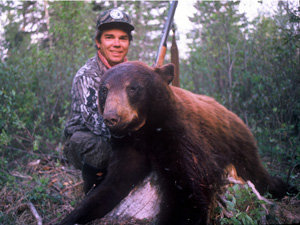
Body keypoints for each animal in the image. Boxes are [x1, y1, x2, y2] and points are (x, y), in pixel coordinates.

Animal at [59, 61, 296, 225]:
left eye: (132, 88)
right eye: (104, 90)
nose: (111, 117)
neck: (146, 131)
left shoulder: (181, 138)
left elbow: (190, 188)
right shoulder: (129, 147)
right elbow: (112, 186)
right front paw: (74, 215)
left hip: (240, 149)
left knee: (259, 176)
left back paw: (287, 188)